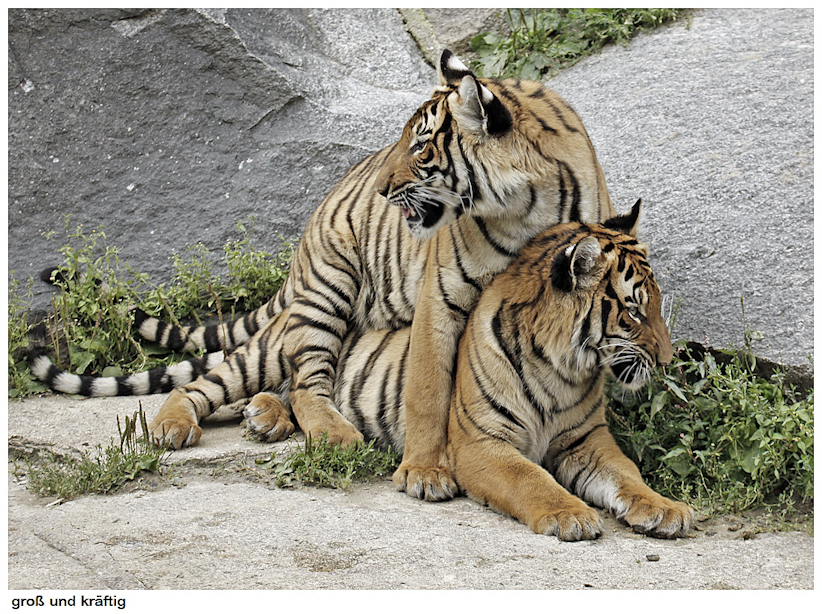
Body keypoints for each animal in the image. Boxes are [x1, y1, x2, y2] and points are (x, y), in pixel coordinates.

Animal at [30, 49, 616, 502]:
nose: (382, 188)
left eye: (421, 146)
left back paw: (265, 415)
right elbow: (426, 387)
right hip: (325, 290)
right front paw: (424, 472)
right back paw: (224, 428)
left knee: (293, 383)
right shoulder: (441, 295)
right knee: (290, 381)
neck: (525, 205)